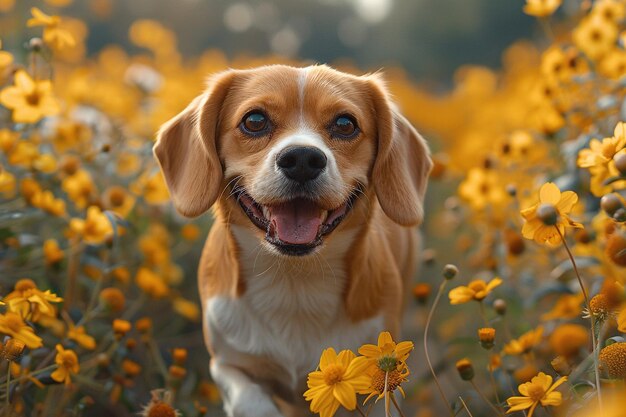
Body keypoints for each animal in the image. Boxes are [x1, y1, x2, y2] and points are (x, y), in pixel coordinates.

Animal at [154, 65, 432, 416]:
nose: (302, 158)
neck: (294, 281)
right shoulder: (227, 363)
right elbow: (250, 400)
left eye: (345, 124)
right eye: (254, 120)